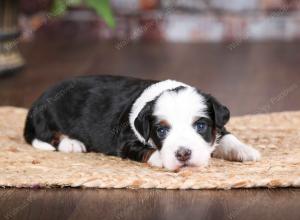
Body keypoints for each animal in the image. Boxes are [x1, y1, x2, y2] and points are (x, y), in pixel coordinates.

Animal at [24, 75, 260, 170]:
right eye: (162, 130)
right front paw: (162, 158)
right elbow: (148, 150)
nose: (183, 154)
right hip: (47, 116)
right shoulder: (125, 140)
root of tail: (35, 102)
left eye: (200, 126)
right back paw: (71, 143)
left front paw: (246, 151)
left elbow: (226, 136)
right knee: (47, 135)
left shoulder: (218, 123)